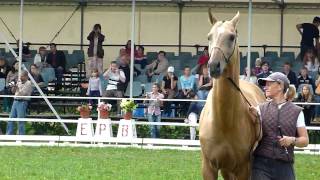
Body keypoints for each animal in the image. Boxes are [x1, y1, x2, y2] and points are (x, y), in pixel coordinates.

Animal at [199, 10, 266, 179]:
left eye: (231, 37)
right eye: (209, 36)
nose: (213, 66)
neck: (224, 122)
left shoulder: (243, 169)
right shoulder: (209, 167)